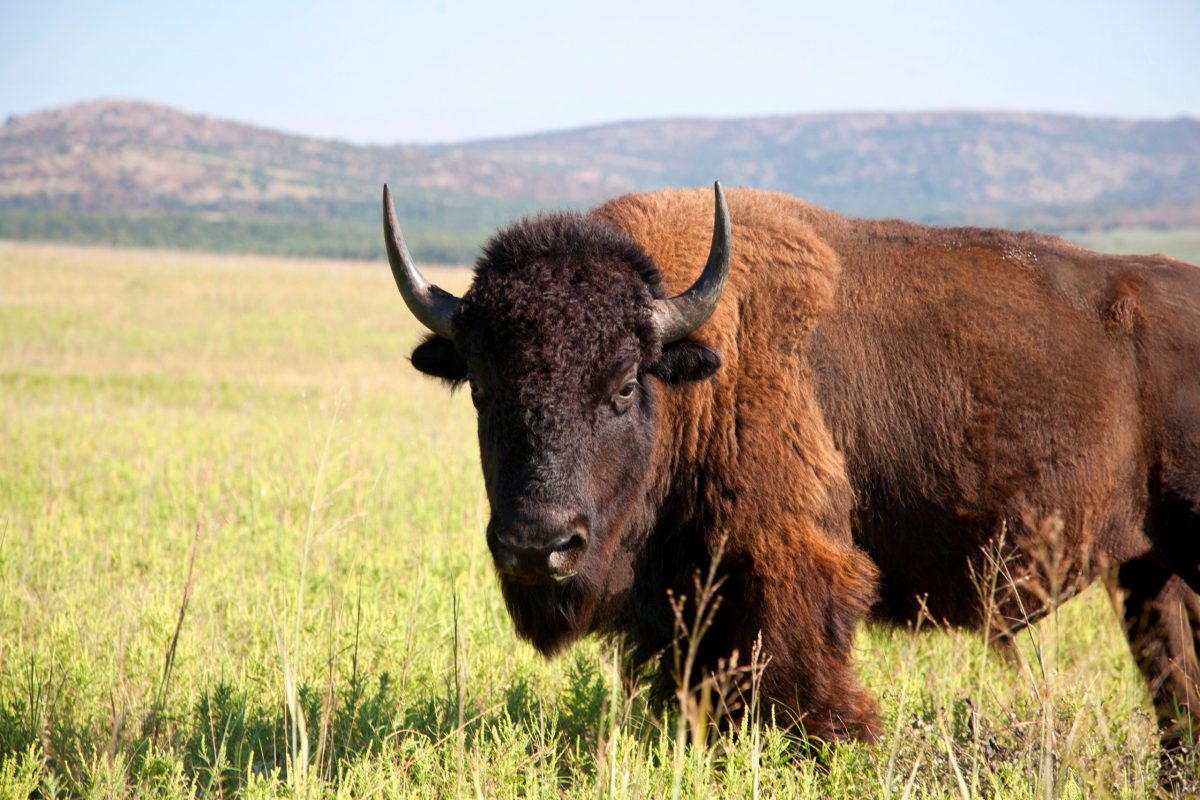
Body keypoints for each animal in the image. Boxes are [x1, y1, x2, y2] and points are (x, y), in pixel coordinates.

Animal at [382, 182, 1200, 750]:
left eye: (622, 385)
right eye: (480, 388)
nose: (537, 546)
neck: (698, 372)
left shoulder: (787, 568)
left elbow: (803, 691)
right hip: (1148, 575)